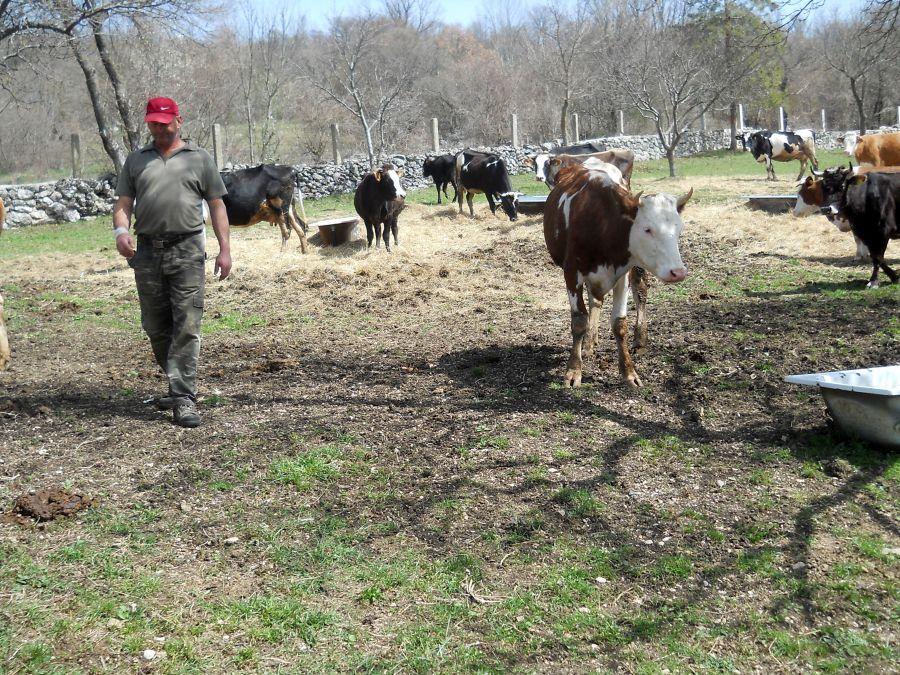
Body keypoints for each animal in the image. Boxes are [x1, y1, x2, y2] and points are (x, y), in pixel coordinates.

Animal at [544, 164, 692, 388]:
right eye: (647, 229)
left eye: (678, 229)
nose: (678, 272)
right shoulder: (571, 273)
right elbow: (579, 320)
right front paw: (573, 370)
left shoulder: (622, 274)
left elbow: (619, 323)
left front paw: (629, 373)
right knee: (595, 302)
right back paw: (589, 343)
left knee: (639, 293)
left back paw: (638, 339)